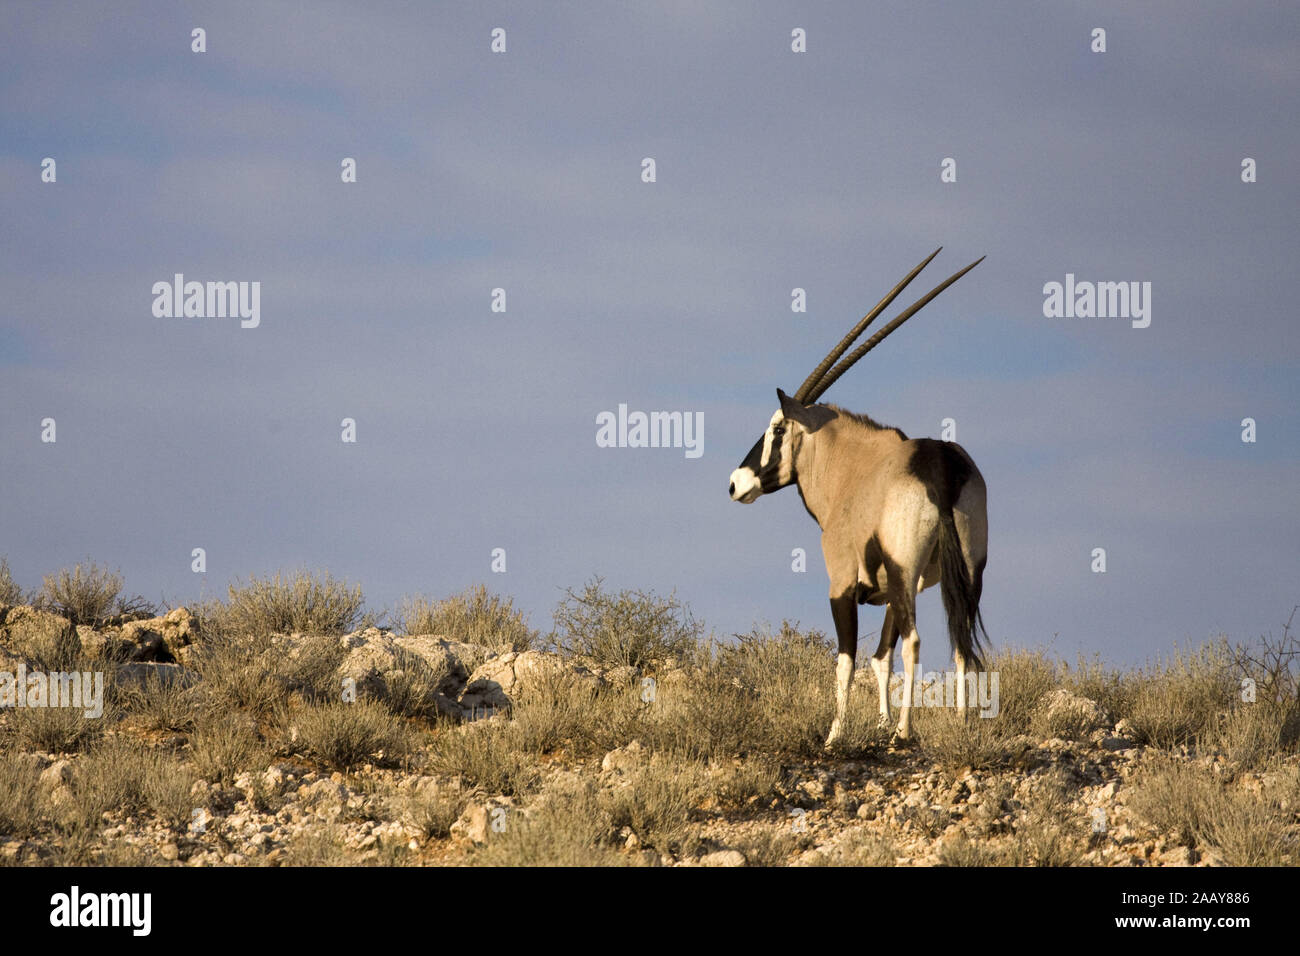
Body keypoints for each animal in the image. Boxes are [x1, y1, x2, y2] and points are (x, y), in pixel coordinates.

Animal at [728, 252, 987, 749]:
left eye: (777, 428)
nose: (735, 483)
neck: (851, 468)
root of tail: (941, 467)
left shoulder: (843, 583)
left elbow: (847, 660)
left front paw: (836, 734)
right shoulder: (893, 590)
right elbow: (879, 658)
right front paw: (880, 722)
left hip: (906, 570)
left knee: (916, 641)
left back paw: (905, 732)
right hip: (968, 571)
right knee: (960, 641)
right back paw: (963, 725)